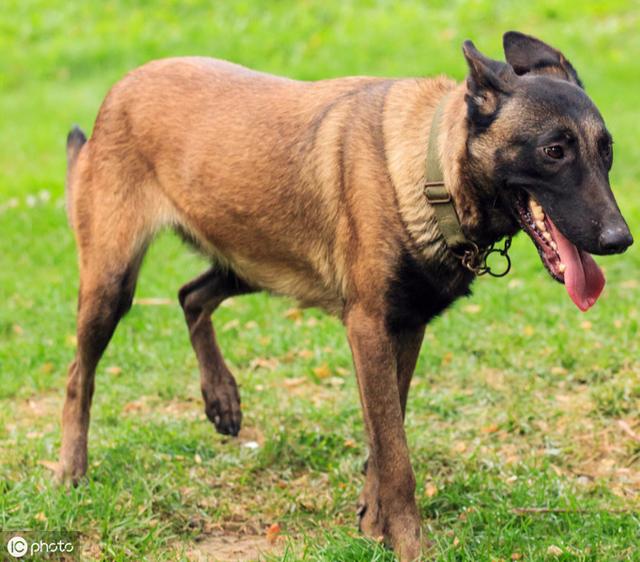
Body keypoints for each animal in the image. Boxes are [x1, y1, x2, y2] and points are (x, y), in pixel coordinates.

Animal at [60, 32, 632, 556]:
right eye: (554, 151)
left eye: (606, 151)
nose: (619, 240)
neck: (431, 174)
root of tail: (122, 87)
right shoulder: (370, 329)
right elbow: (396, 455)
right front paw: (408, 546)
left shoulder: (405, 329)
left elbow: (384, 436)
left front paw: (373, 522)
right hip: (112, 283)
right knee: (78, 377)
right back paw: (71, 471)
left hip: (251, 261)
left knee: (191, 295)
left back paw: (221, 396)